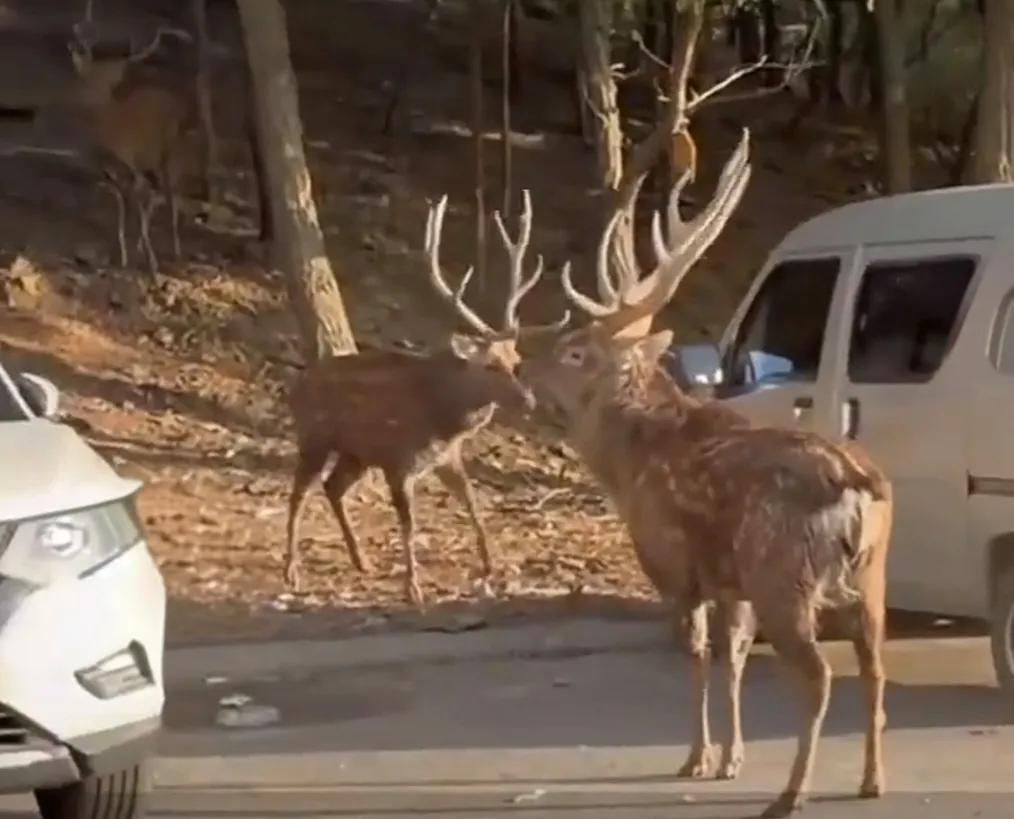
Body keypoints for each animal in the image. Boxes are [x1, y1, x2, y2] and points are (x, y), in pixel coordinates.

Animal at [285, 191, 569, 606]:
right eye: (490, 365)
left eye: (515, 363)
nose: (528, 401)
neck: (443, 415)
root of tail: (296, 385)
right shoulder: (398, 461)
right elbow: (409, 523)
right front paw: (413, 586)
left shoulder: (447, 458)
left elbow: (473, 505)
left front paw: (491, 567)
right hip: (315, 437)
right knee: (298, 493)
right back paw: (291, 571)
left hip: (356, 453)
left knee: (332, 487)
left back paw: (361, 560)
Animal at [518, 129, 893, 818]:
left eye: (575, 352)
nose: (523, 372)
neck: (628, 463)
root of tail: (859, 489)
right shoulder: (728, 580)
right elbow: (734, 656)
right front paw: (728, 758)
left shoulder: (672, 562)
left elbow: (696, 656)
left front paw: (696, 758)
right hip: (871, 574)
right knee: (873, 666)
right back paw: (871, 779)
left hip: (784, 574)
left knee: (819, 675)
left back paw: (791, 794)